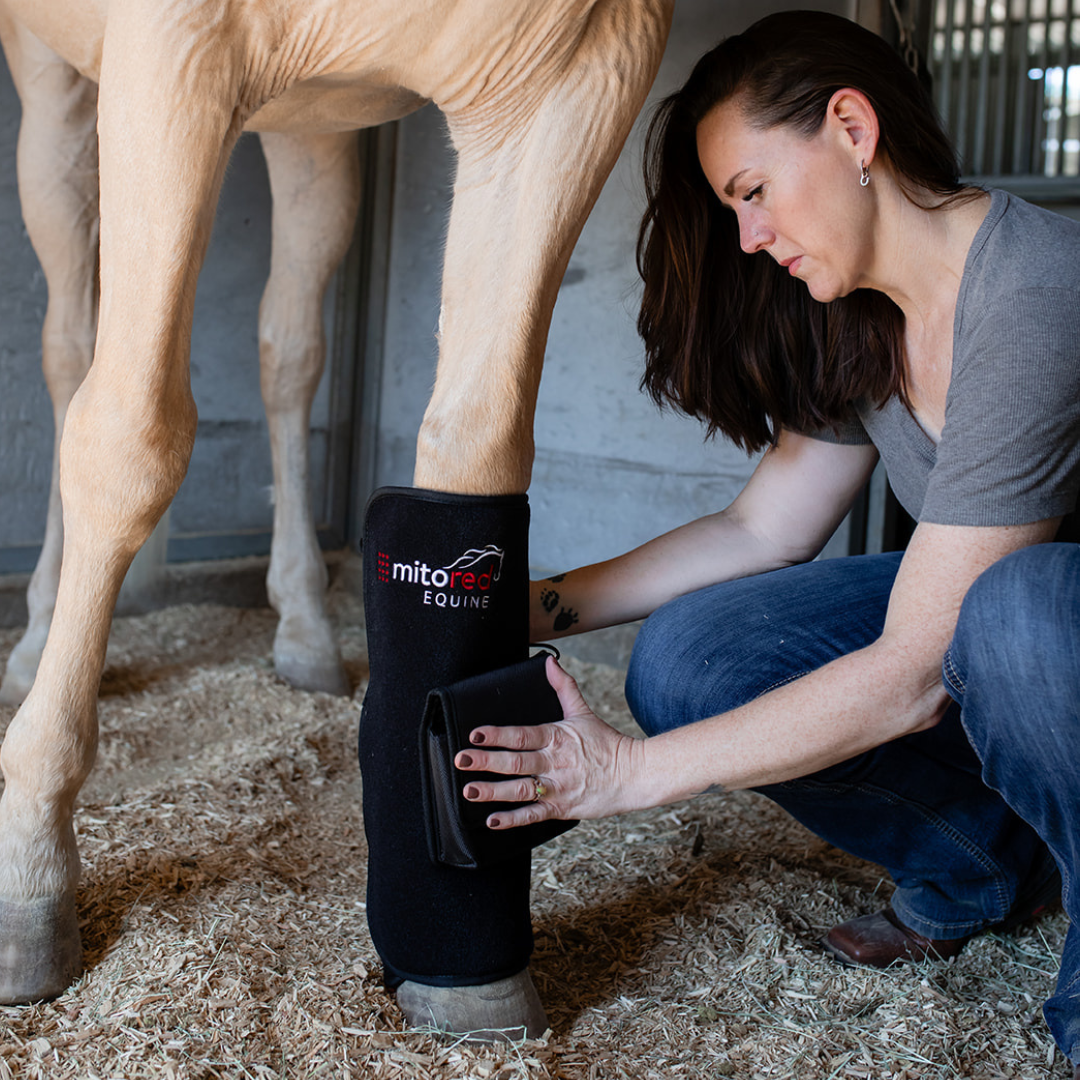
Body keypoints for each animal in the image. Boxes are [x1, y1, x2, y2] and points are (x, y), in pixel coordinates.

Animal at [0, 0, 669, 1028]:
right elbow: (127, 439)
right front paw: (31, 863)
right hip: (58, 87)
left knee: (290, 350)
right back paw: (36, 638)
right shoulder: (167, 53)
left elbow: (477, 438)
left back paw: (306, 624)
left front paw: (464, 961)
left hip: (314, 125)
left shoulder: (577, 75)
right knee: (73, 350)